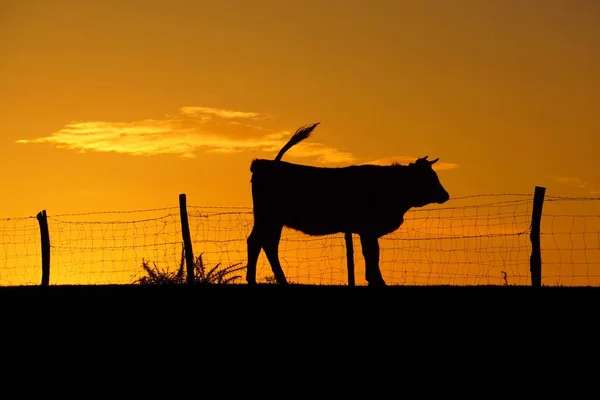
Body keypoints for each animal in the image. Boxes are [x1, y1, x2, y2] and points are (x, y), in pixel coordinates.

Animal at [245, 123, 450, 286]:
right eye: (429, 177)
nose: (445, 195)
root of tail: (265, 163)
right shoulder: (368, 229)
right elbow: (371, 254)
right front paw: (377, 281)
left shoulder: (367, 231)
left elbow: (373, 254)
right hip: (268, 218)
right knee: (257, 242)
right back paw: (256, 280)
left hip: (272, 221)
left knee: (267, 244)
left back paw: (278, 280)